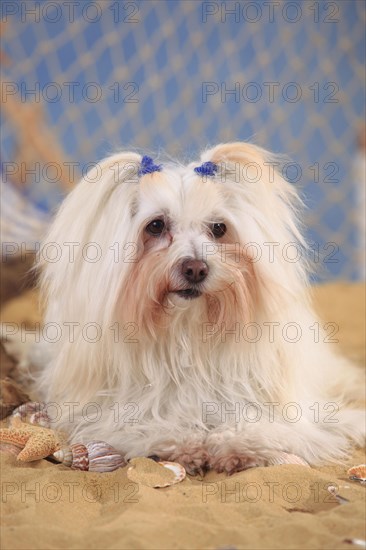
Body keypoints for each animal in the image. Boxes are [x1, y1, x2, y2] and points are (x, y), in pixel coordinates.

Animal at [35, 144, 364, 476]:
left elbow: (263, 425)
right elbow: (143, 423)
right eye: (156, 225)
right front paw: (181, 442)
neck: (187, 333)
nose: (195, 268)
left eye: (218, 228)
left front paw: (238, 444)